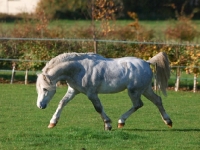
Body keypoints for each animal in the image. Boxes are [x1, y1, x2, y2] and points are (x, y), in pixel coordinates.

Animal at [36, 52, 172, 129]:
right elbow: (62, 103)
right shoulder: (73, 91)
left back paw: (121, 121)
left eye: (45, 88)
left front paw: (108, 124)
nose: (40, 105)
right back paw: (168, 121)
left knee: (138, 104)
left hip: (134, 91)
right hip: (145, 89)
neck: (79, 69)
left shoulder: (91, 94)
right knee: (157, 100)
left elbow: (98, 108)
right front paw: (52, 123)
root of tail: (147, 62)